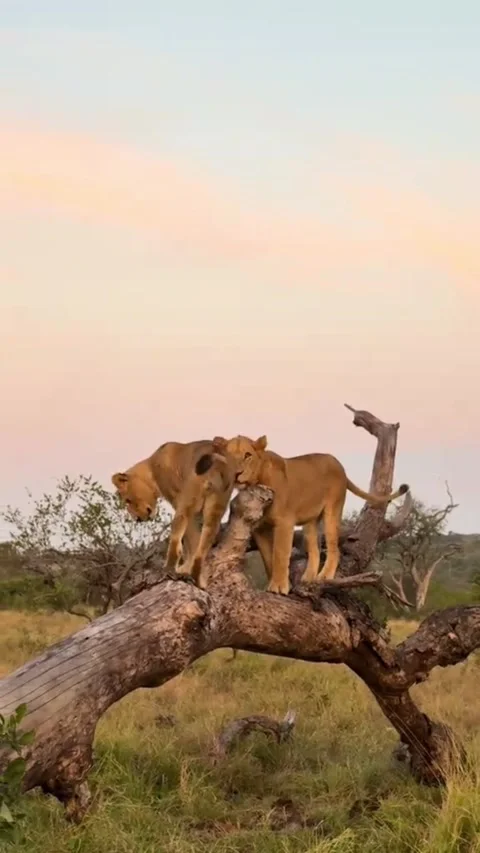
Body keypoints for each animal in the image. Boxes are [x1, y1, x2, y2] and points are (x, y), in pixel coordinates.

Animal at [111, 440, 235, 588]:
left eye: (128, 500)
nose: (137, 519)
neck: (151, 467)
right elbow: (195, 541)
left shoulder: (177, 501)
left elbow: (189, 541)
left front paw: (184, 568)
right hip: (216, 507)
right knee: (202, 548)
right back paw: (198, 581)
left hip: (186, 504)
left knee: (176, 542)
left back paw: (170, 570)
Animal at [198, 435, 409, 595]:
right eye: (228, 457)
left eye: (247, 455)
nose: (236, 474)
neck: (256, 482)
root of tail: (339, 465)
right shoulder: (260, 529)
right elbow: (268, 557)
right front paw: (279, 583)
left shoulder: (285, 522)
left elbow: (280, 553)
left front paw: (279, 587)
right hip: (310, 522)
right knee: (314, 549)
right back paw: (308, 578)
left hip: (332, 511)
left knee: (334, 548)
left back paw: (325, 576)